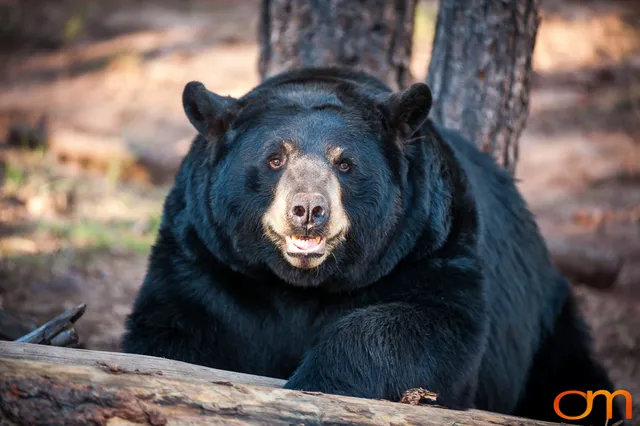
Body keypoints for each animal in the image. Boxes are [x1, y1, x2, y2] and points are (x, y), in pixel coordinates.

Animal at [122, 67, 622, 425]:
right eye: (275, 158)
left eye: (345, 163)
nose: (308, 209)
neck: (299, 286)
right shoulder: (205, 261)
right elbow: (168, 334)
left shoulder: (430, 243)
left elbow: (432, 330)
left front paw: (313, 383)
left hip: (545, 325)